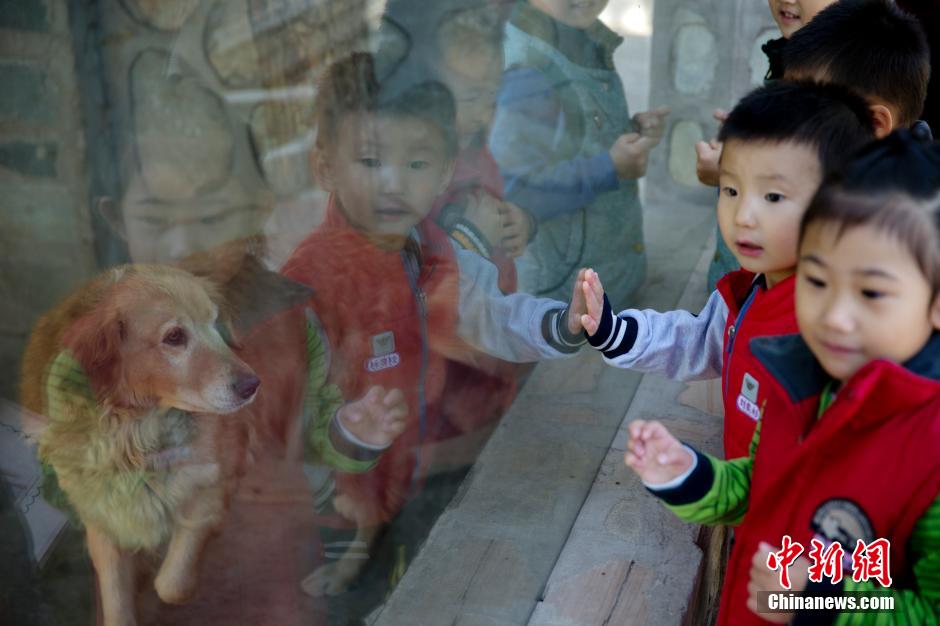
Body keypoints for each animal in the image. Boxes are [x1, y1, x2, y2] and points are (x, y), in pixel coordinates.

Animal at [19, 264, 260, 624]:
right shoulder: (103, 519)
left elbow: (172, 582)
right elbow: (116, 597)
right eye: (174, 337)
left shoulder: (207, 487)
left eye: (215, 322)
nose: (252, 385)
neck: (137, 437)